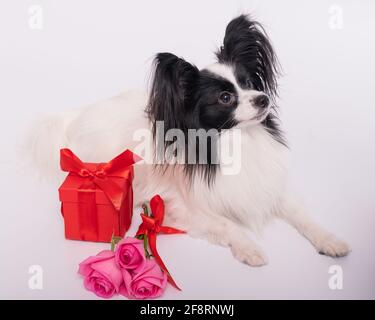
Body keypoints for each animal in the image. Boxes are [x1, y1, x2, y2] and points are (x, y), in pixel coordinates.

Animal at [30, 14, 352, 264]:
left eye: (249, 83)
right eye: (225, 98)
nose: (263, 99)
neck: (237, 141)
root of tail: (80, 112)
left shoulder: (269, 188)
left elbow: (303, 215)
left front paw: (330, 240)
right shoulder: (186, 207)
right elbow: (228, 225)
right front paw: (250, 248)